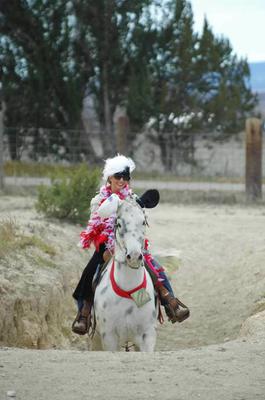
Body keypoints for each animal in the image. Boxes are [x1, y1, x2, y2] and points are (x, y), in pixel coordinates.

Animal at [91, 195, 157, 352]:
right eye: (119, 224)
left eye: (143, 222)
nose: (134, 256)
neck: (129, 290)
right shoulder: (108, 337)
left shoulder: (148, 335)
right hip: (96, 338)